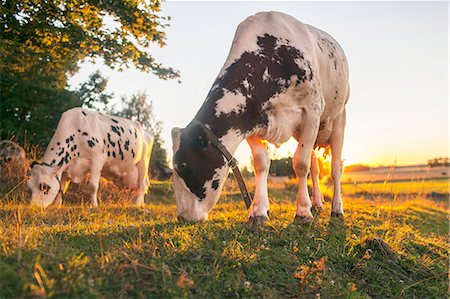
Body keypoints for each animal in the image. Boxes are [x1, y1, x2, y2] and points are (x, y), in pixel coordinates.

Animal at [172, 11, 352, 224]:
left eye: (183, 165)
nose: (183, 217)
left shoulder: (312, 109)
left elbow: (300, 163)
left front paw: (302, 212)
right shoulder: (250, 120)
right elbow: (261, 162)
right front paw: (258, 211)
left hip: (338, 116)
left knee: (335, 167)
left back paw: (336, 208)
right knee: (315, 168)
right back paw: (317, 203)